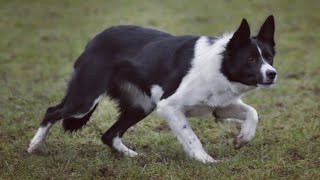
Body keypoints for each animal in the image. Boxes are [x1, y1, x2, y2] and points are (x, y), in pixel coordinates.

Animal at [28, 15, 278, 163]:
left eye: (269, 57)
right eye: (250, 59)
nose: (272, 74)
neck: (220, 64)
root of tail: (94, 40)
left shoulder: (219, 105)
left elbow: (253, 112)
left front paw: (243, 139)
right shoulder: (169, 106)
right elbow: (191, 136)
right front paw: (206, 160)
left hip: (141, 105)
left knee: (108, 135)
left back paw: (130, 155)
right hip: (86, 99)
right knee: (52, 111)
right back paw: (33, 146)